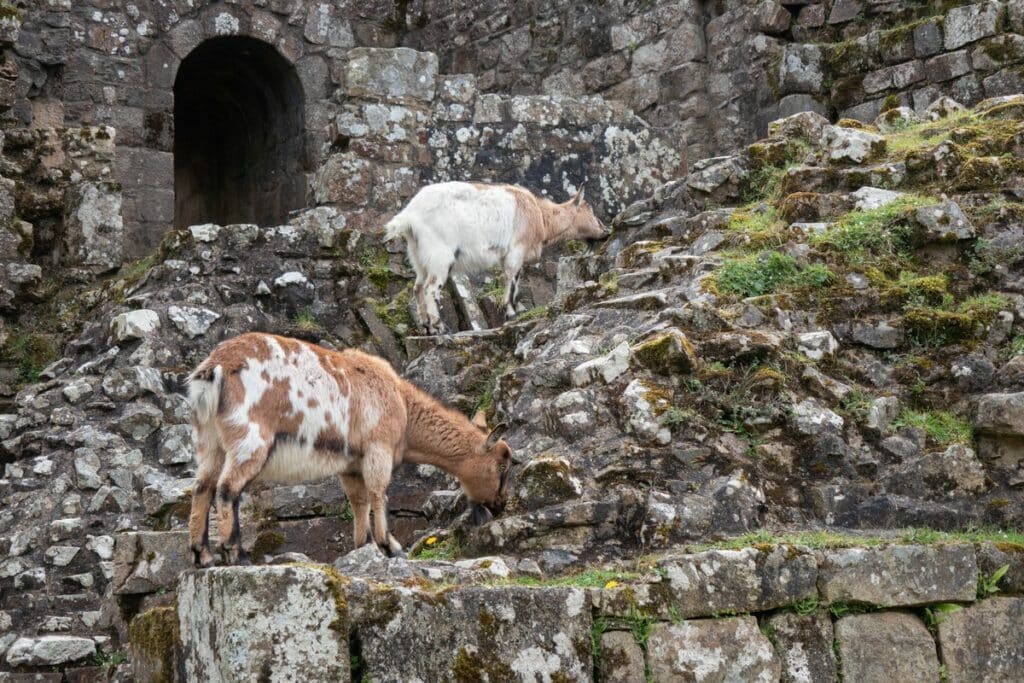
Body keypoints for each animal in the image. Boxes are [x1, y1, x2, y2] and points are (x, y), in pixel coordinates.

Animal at [185, 331, 512, 565]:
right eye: (501, 466)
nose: (500, 504)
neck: (403, 405)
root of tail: (215, 368)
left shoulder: (350, 466)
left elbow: (359, 502)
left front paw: (362, 546)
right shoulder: (378, 449)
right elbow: (379, 493)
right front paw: (390, 546)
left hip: (209, 441)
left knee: (202, 488)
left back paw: (203, 556)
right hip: (250, 437)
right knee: (227, 488)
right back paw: (237, 554)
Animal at [385, 180, 606, 331]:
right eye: (589, 209)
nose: (604, 231)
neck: (541, 216)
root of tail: (409, 216)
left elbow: (514, 280)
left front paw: (515, 310)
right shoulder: (516, 250)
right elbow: (511, 279)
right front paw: (511, 312)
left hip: (418, 255)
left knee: (418, 287)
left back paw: (427, 327)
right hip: (439, 254)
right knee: (431, 288)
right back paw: (440, 327)